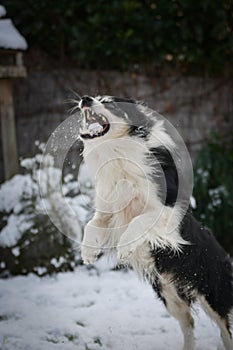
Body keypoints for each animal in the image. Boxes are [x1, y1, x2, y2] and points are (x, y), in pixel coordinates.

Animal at [75, 94, 232, 348]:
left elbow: (139, 220)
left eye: (109, 102)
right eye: (96, 97)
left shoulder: (168, 210)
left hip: (212, 294)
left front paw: (125, 247)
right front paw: (88, 252)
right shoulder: (108, 211)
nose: (85, 99)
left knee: (224, 330)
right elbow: (92, 224)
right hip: (169, 296)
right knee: (189, 324)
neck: (116, 151)